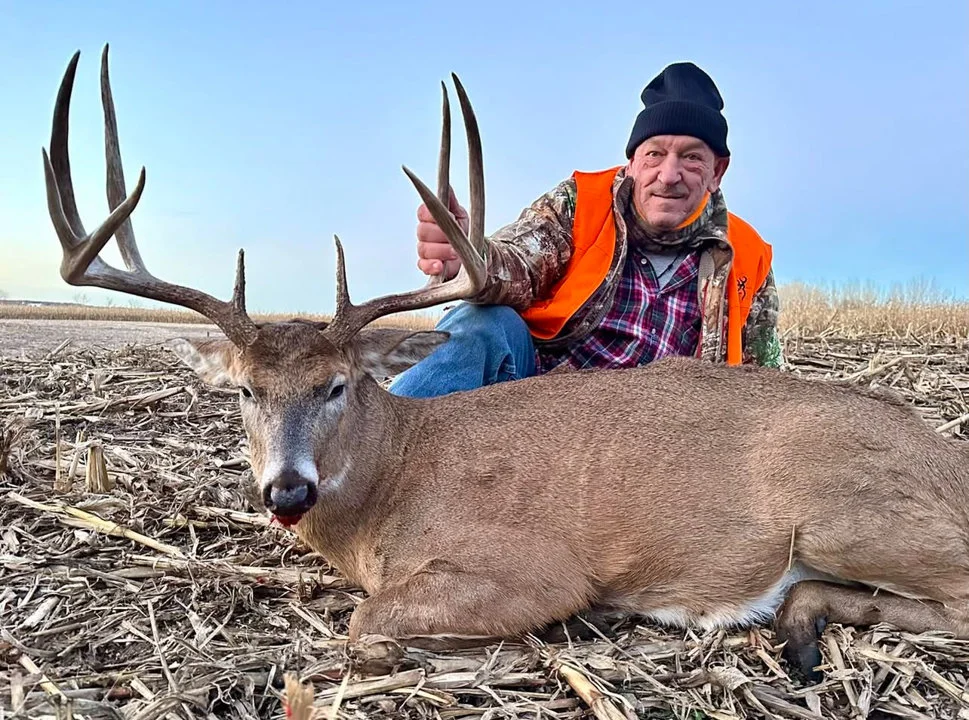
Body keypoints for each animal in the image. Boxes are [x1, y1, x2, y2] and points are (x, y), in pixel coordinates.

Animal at [42, 45, 969, 684]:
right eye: (242, 390)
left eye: (337, 385)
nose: (287, 491)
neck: (393, 486)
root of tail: (946, 458)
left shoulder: (535, 567)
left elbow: (365, 625)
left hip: (847, 512)